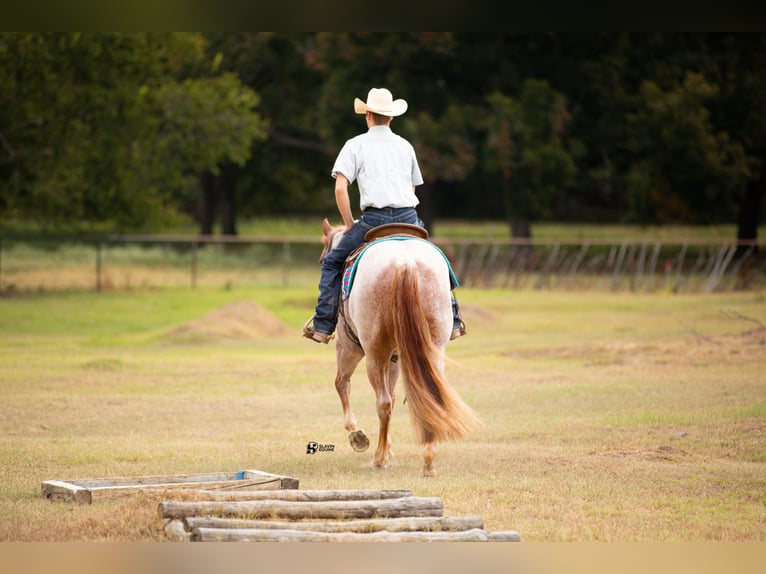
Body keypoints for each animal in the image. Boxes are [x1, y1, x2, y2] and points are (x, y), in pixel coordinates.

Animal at [318, 218, 480, 480]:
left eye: (324, 259)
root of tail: (405, 263)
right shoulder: (395, 357)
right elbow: (393, 397)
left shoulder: (348, 345)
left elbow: (342, 383)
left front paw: (358, 435)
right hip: (432, 348)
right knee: (428, 396)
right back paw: (428, 461)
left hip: (373, 353)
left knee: (381, 401)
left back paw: (379, 459)